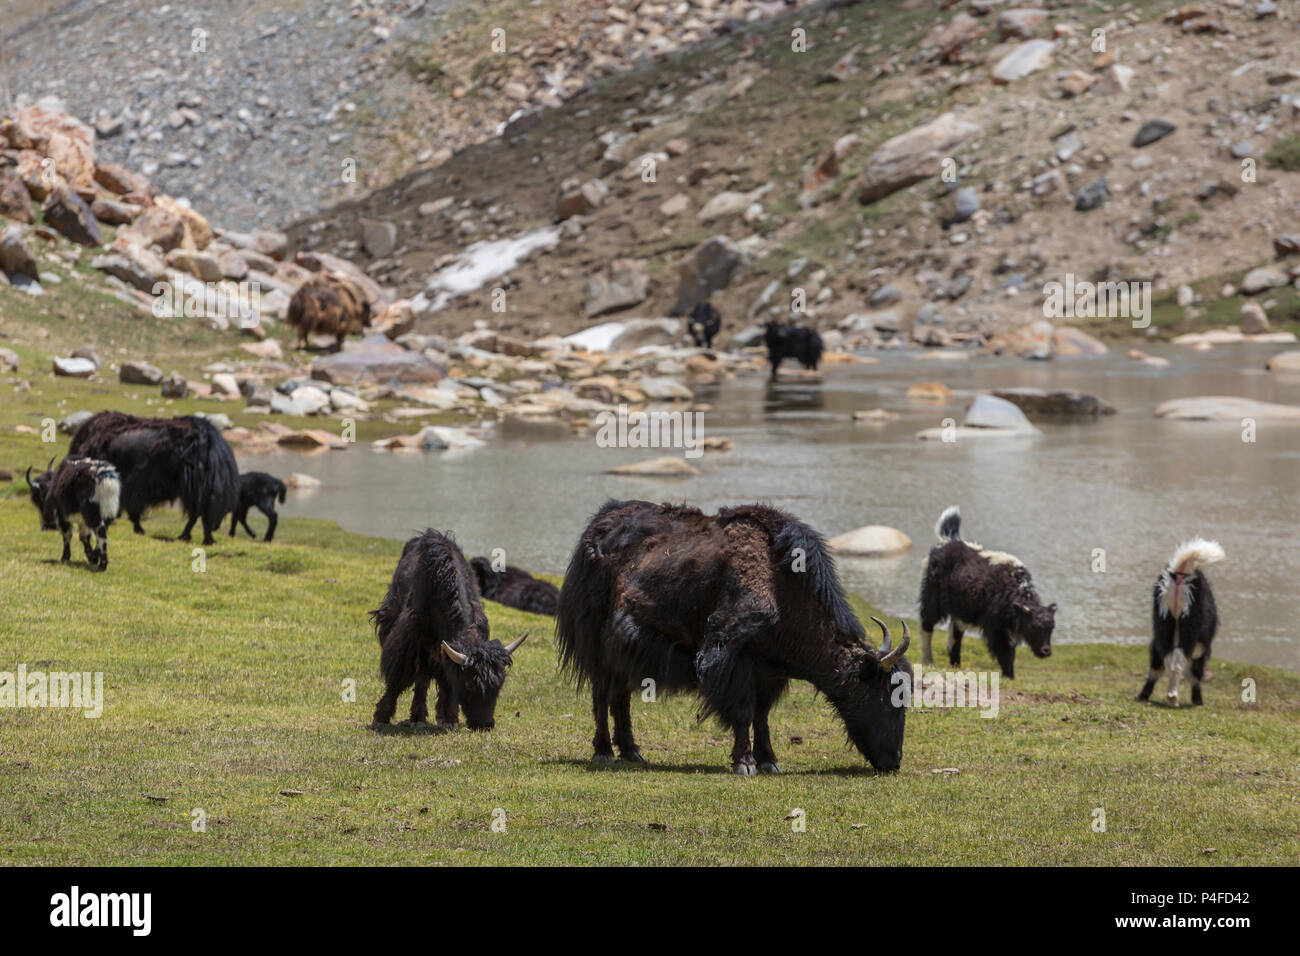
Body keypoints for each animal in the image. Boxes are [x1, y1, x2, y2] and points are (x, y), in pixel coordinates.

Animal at [915, 509, 1055, 681]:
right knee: (926, 626)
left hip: (959, 610)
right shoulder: (995, 628)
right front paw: (1009, 676)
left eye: (1051, 627)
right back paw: (928, 662)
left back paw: (956, 666)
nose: (1046, 651)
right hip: (932, 600)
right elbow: (1004, 652)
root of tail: (947, 541)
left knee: (955, 635)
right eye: (1034, 626)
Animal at [1144, 541, 1222, 707]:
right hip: (1190, 624)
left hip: (1163, 620)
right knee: (1179, 658)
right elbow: (1194, 671)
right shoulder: (1201, 646)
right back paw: (1174, 698)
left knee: (1164, 657)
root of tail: (1180, 574)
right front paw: (1197, 700)